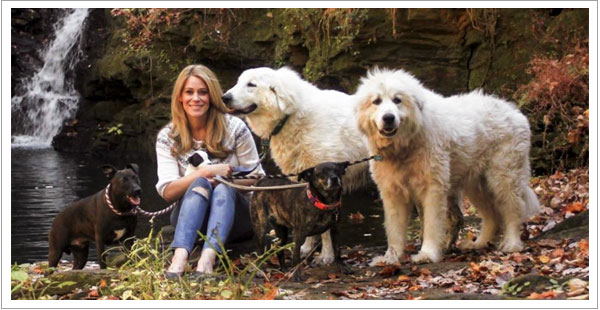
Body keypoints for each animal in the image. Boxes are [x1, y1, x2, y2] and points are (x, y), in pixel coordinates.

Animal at [221, 67, 370, 264]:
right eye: (239, 81)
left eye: (251, 85)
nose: (224, 97)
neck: (290, 116)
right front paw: (306, 248)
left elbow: (326, 230)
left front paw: (326, 256)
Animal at [354, 69, 540, 266]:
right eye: (376, 101)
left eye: (397, 100)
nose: (388, 118)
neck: (405, 145)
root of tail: (515, 112)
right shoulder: (393, 192)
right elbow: (394, 229)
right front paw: (391, 257)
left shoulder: (433, 189)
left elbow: (431, 225)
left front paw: (427, 254)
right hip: (477, 185)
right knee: (491, 216)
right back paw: (479, 243)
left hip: (503, 178)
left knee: (513, 210)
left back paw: (512, 244)